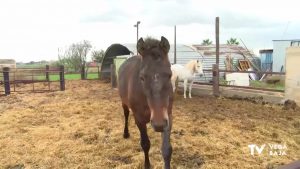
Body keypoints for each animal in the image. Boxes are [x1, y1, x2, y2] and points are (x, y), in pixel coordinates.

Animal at [118, 36, 173, 168]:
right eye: (142, 77)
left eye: (170, 75)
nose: (158, 124)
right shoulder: (140, 119)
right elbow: (145, 144)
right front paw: (147, 165)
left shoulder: (168, 117)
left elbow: (166, 150)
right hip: (124, 102)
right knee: (126, 114)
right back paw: (126, 133)